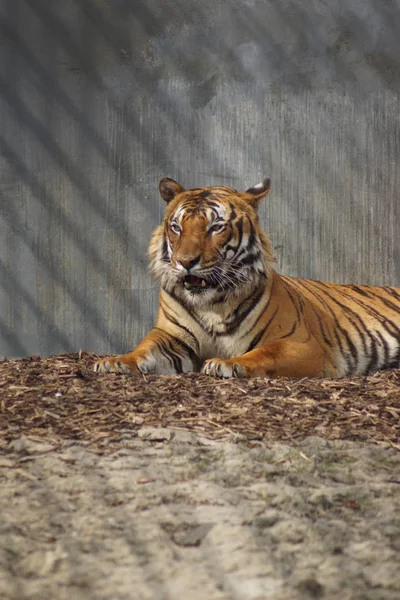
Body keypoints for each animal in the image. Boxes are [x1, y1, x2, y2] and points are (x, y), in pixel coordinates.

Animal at [92, 176, 400, 378]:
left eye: (216, 227)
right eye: (177, 227)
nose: (185, 262)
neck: (211, 303)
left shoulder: (305, 345)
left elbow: (266, 352)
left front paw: (226, 364)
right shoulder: (171, 336)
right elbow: (143, 348)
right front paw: (114, 362)